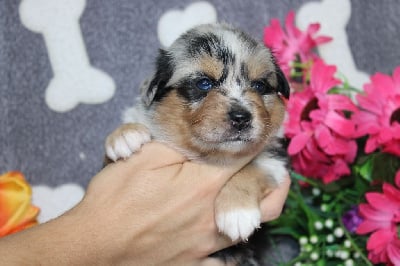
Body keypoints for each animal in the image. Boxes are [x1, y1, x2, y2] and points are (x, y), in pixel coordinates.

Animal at [104, 23, 290, 264]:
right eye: (204, 83)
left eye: (259, 85)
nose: (241, 117)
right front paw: (124, 134)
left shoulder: (274, 158)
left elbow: (250, 170)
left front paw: (237, 212)